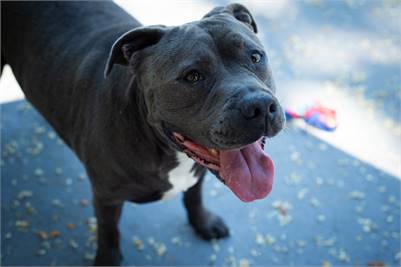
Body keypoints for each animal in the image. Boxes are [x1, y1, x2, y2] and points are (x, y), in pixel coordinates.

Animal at [1, 1, 282, 266]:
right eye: (193, 76)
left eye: (255, 57)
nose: (259, 106)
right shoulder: (106, 198)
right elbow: (109, 233)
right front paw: (107, 260)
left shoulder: (197, 175)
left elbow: (194, 197)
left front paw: (202, 222)